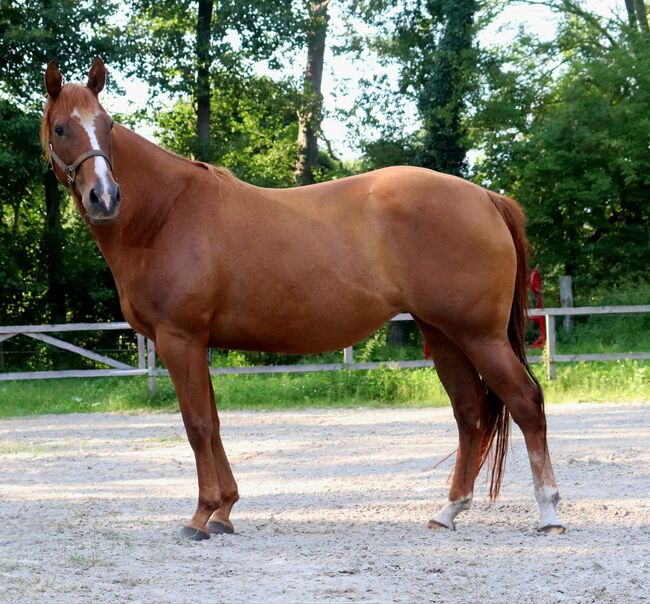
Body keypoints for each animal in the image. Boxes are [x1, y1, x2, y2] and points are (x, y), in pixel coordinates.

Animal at [40, 59, 560, 540]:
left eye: (107, 125)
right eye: (62, 127)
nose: (105, 197)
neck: (165, 214)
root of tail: (485, 197)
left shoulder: (179, 339)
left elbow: (197, 424)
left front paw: (200, 516)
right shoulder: (198, 343)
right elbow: (214, 421)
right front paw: (225, 510)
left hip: (480, 336)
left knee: (525, 402)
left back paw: (549, 512)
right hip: (444, 334)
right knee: (470, 413)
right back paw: (447, 511)